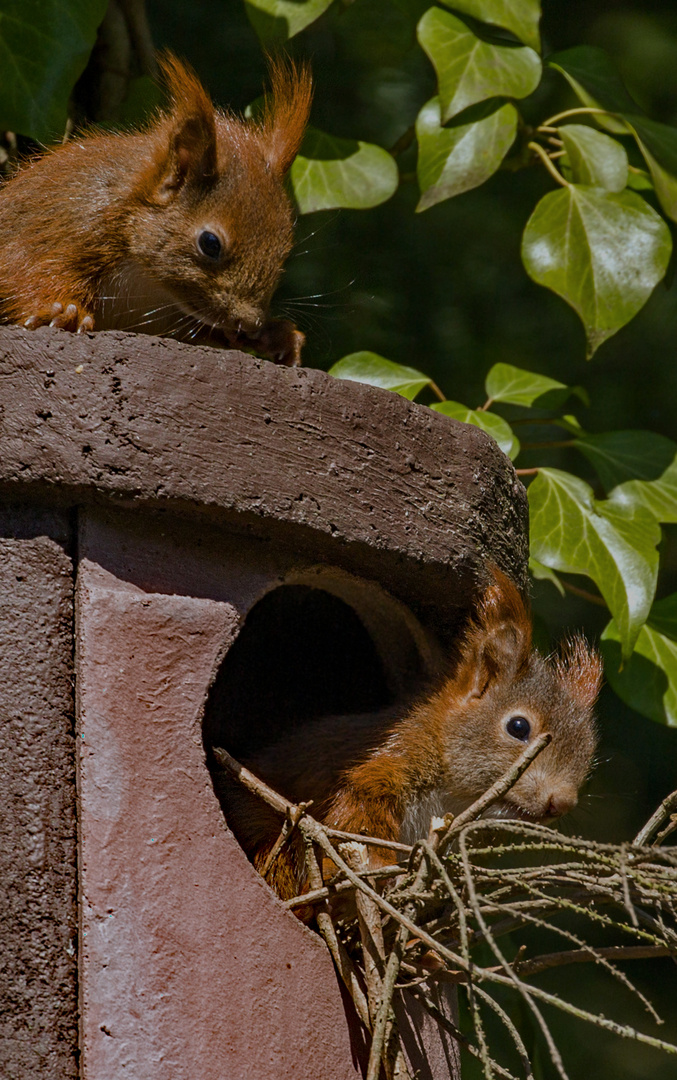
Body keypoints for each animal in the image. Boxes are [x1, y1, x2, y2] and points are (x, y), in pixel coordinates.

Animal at [0, 55, 313, 367]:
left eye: (284, 250)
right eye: (210, 243)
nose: (249, 324)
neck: (149, 284)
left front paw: (277, 335)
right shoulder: (71, 224)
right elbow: (21, 269)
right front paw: (66, 311)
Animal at [221, 565, 604, 902]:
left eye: (589, 747)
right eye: (519, 727)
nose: (562, 802)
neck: (453, 794)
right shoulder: (387, 763)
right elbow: (357, 815)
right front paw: (376, 866)